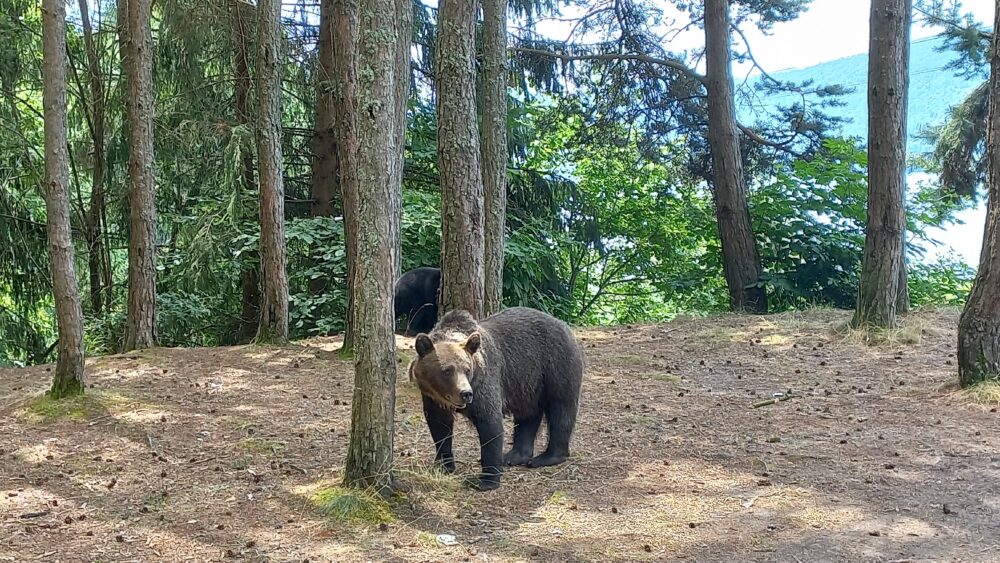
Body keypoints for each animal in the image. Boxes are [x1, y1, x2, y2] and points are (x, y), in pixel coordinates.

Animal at [406, 306, 584, 492]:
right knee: (527, 415)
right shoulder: (432, 398)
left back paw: (547, 457)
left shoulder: (484, 385)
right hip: (527, 383)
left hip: (556, 366)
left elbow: (490, 426)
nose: (465, 393)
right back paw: (514, 456)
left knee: (561, 410)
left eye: (467, 369)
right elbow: (439, 427)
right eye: (447, 370)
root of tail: (564, 325)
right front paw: (443, 465)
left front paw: (485, 480)